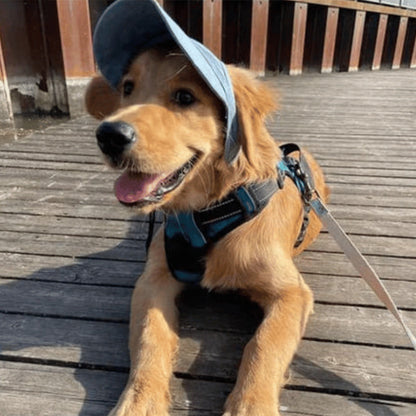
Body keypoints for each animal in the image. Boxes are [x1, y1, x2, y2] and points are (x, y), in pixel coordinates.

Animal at [85, 0, 328, 412]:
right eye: (128, 89)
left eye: (185, 98)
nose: (109, 136)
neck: (210, 212)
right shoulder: (154, 278)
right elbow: (150, 337)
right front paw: (139, 401)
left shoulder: (291, 293)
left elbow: (264, 344)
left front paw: (250, 406)